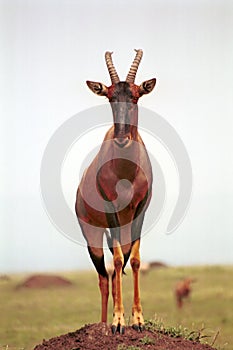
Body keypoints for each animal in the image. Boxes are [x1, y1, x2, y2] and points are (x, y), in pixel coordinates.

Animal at [75, 49, 157, 334]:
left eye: (135, 95)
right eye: (110, 96)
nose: (122, 139)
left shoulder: (140, 210)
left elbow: (135, 260)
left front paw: (138, 320)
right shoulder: (110, 209)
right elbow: (120, 261)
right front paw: (119, 321)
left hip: (119, 228)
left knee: (113, 271)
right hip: (94, 233)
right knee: (104, 275)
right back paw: (102, 323)